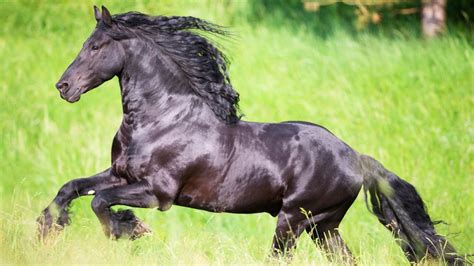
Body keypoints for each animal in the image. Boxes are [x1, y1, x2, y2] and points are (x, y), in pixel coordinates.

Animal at [38, 5, 462, 264]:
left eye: (95, 46)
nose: (62, 87)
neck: (163, 119)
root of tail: (356, 157)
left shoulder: (158, 193)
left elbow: (100, 202)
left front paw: (129, 229)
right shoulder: (120, 174)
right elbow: (72, 188)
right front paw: (47, 230)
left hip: (293, 221)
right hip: (324, 227)